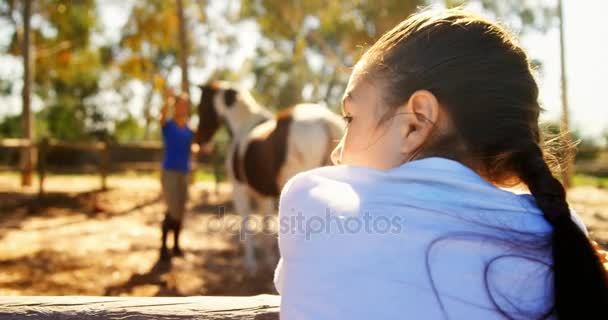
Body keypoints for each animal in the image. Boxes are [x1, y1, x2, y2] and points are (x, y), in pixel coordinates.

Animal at [197, 81, 344, 274]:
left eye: (200, 106)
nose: (199, 140)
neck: (243, 125)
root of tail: (325, 122)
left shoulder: (240, 190)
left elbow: (247, 224)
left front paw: (251, 264)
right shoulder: (264, 194)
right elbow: (266, 224)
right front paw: (268, 261)